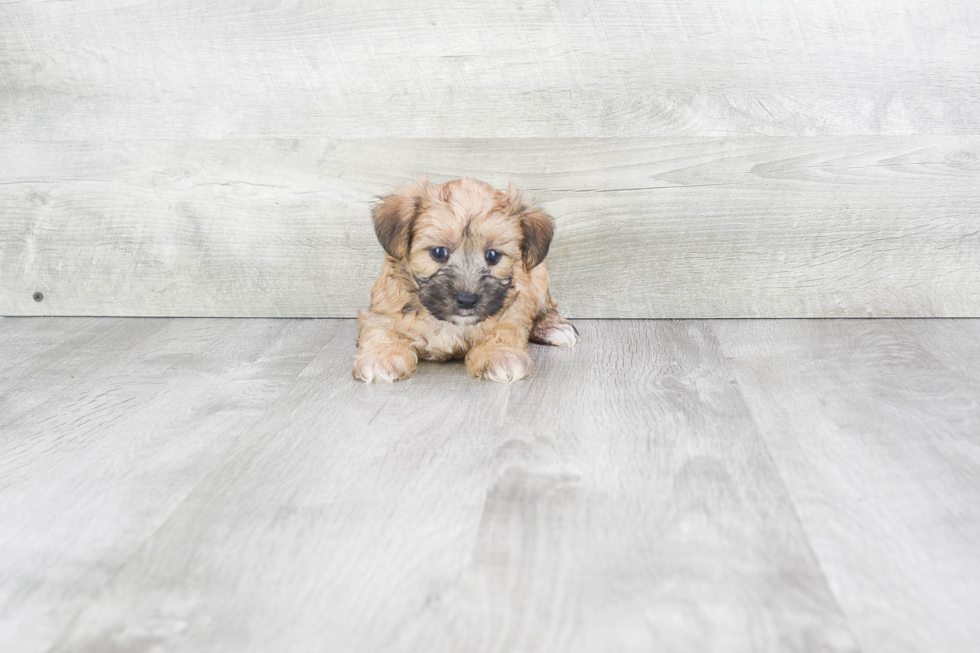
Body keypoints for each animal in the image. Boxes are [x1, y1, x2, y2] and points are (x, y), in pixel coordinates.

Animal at [356, 176, 580, 384]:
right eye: (439, 252)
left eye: (493, 256)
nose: (467, 300)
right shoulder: (382, 312)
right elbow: (381, 331)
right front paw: (381, 357)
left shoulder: (511, 311)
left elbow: (504, 330)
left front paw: (501, 355)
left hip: (539, 275)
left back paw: (553, 328)